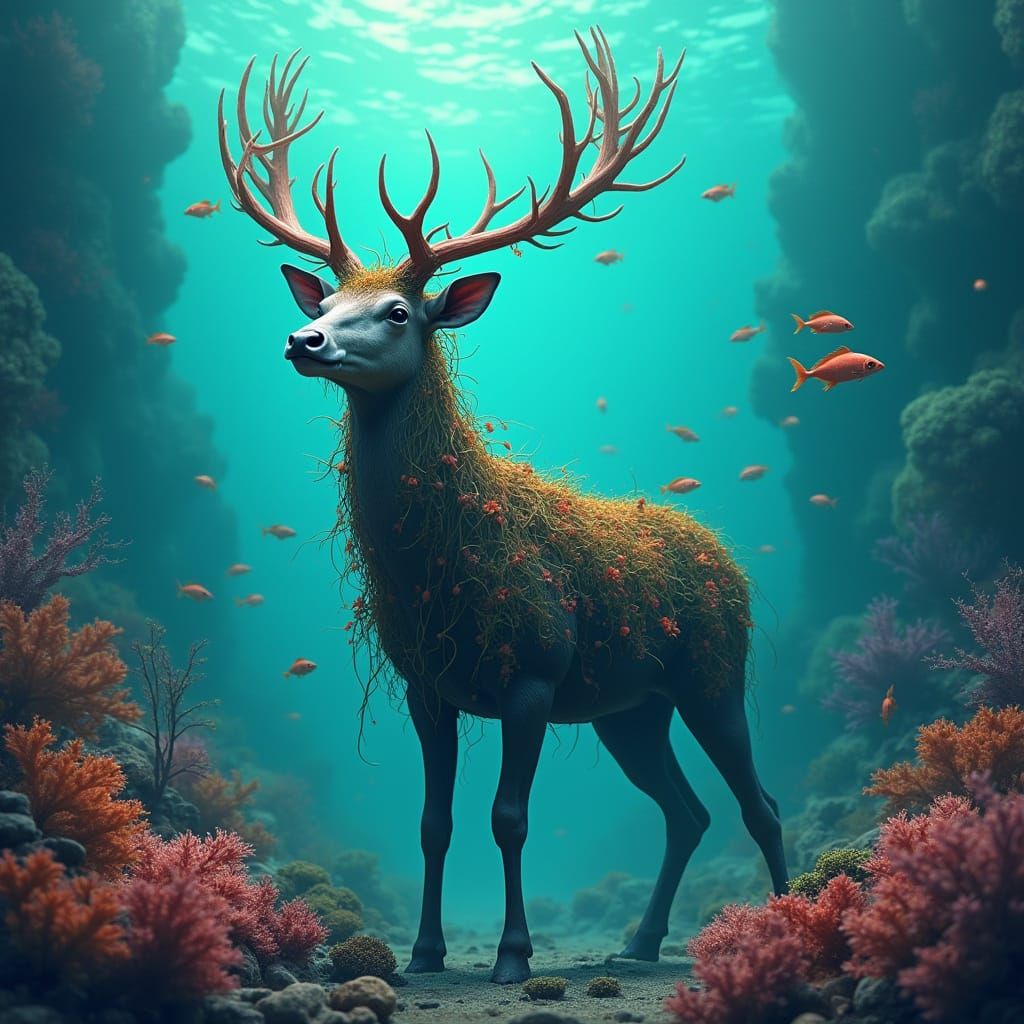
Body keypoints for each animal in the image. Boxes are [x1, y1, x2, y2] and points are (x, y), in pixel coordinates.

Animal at [218, 27, 787, 985]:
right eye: (326, 299)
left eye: (399, 310)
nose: (304, 338)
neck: (436, 572)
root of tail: (727, 559)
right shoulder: (426, 685)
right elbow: (433, 824)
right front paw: (423, 952)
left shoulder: (533, 672)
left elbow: (508, 819)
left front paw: (513, 956)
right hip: (630, 709)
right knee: (687, 812)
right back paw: (640, 942)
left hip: (715, 674)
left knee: (760, 803)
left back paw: (790, 920)